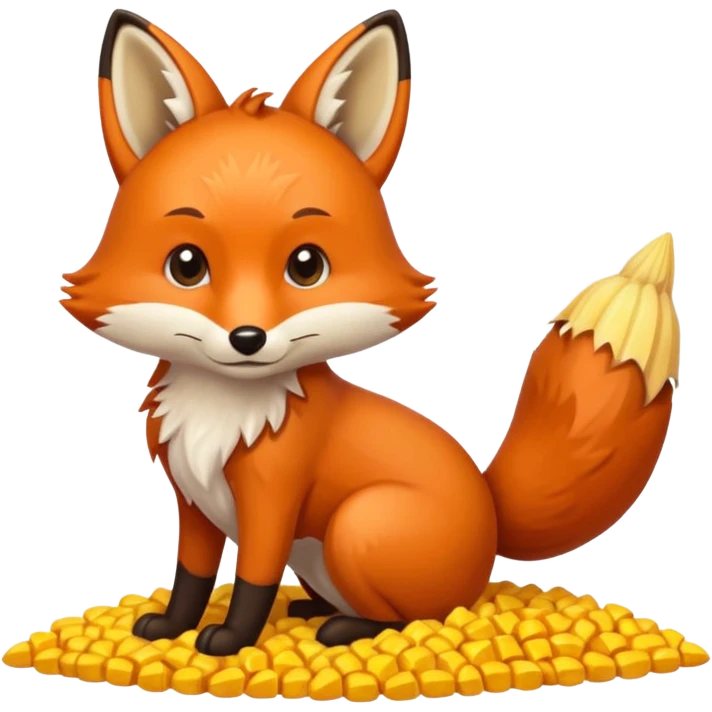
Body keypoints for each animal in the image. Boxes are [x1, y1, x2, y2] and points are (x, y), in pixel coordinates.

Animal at [59, 9, 680, 657]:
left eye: (307, 266)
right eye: (186, 265)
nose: (247, 338)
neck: (224, 412)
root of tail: (490, 509)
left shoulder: (273, 500)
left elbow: (253, 580)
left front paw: (230, 639)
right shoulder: (194, 503)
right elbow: (192, 577)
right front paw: (172, 628)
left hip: (357, 526)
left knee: (422, 616)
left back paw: (346, 629)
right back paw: (315, 609)